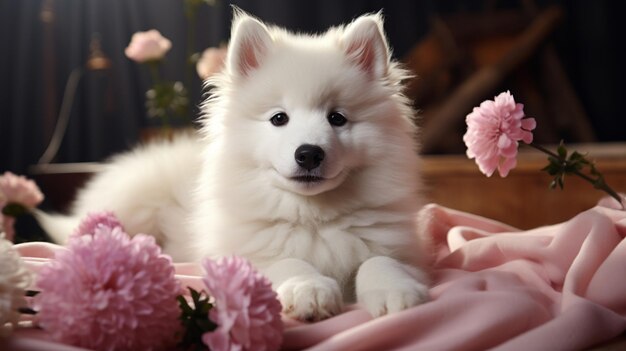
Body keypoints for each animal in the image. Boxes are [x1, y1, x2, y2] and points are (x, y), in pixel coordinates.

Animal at [40, 9, 428, 322]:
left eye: (337, 118)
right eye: (279, 118)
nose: (309, 154)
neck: (312, 216)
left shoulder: (401, 248)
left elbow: (380, 261)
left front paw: (396, 291)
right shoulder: (240, 254)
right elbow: (286, 261)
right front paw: (309, 289)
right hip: (134, 200)